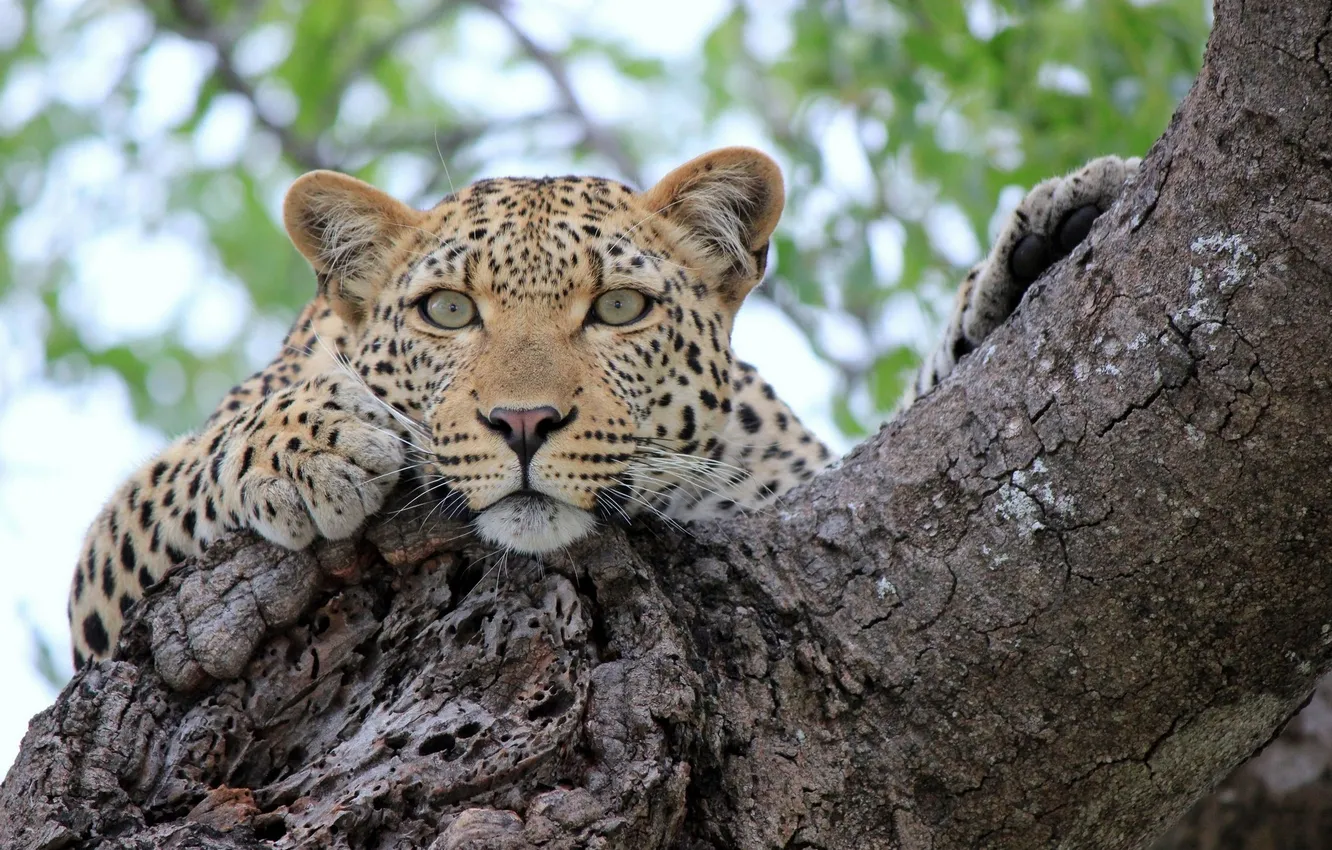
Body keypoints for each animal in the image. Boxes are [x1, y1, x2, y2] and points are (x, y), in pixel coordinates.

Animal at [67, 147, 1140, 666]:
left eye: (619, 308)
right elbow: (185, 464)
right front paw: (312, 442)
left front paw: (1034, 248)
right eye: (447, 310)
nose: (524, 425)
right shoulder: (99, 596)